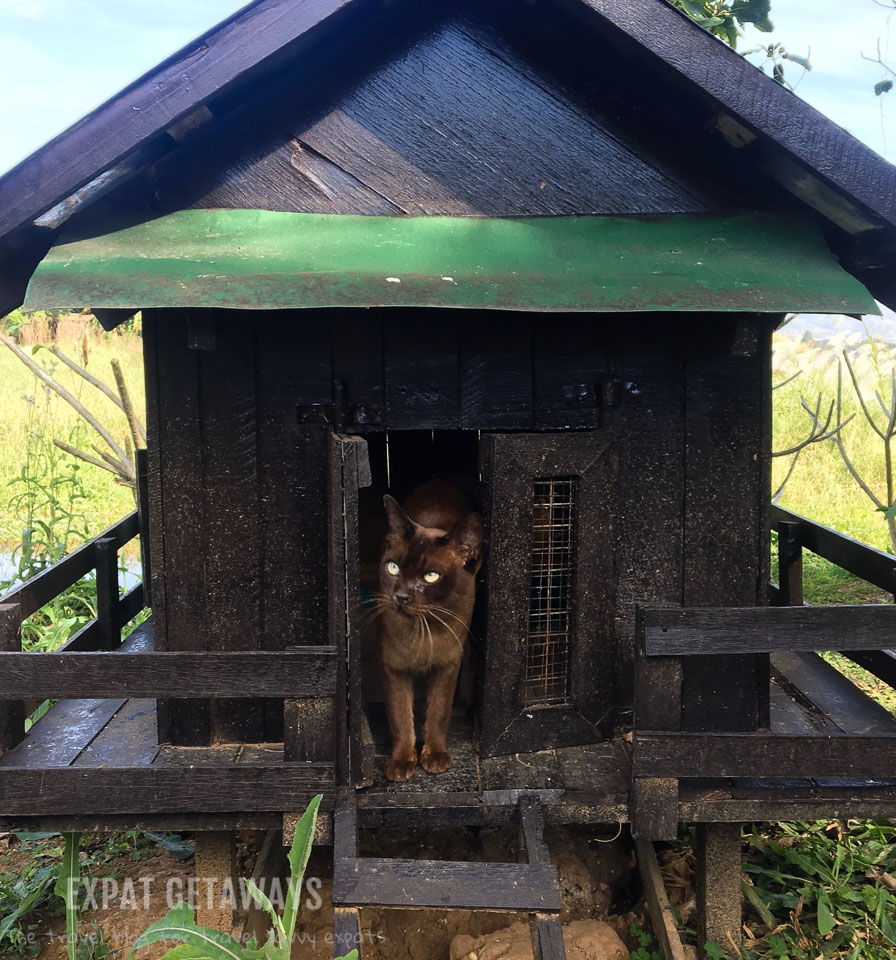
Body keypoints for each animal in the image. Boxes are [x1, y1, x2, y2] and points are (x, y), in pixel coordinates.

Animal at [372, 480, 484, 780]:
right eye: (393, 568)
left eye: (431, 576)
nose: (400, 597)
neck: (424, 631)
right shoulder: (393, 667)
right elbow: (400, 716)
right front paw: (401, 763)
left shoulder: (448, 664)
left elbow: (438, 712)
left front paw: (434, 758)